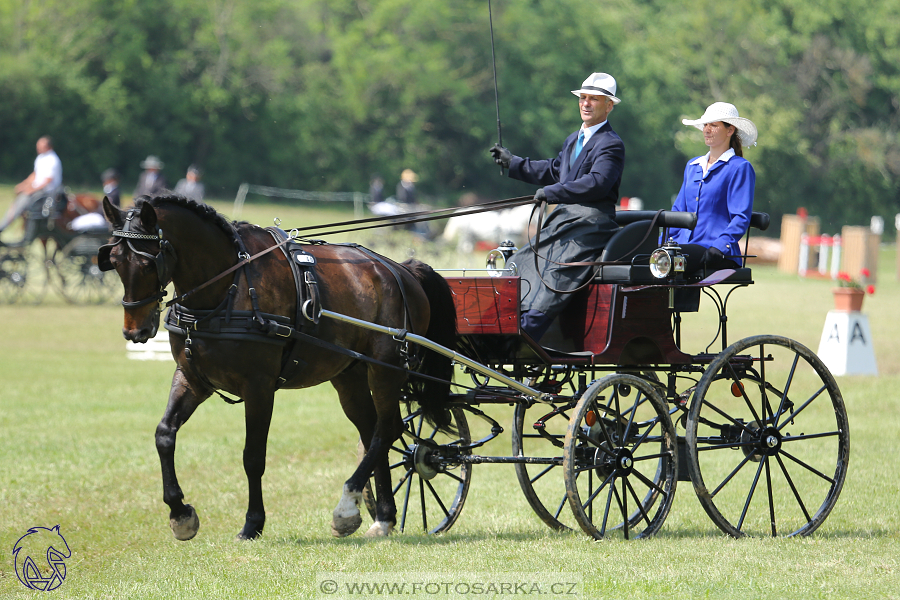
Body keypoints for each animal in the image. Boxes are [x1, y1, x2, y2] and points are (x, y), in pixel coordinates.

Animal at [98, 196, 458, 540]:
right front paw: (180, 515)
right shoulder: (192, 378)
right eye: (113, 260)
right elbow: (164, 435)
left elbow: (253, 456)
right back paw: (382, 516)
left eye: (148, 262)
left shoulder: (259, 386)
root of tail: (403, 269)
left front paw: (252, 524)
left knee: (388, 429)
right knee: (372, 431)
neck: (229, 286)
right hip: (349, 374)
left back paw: (346, 507)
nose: (134, 331)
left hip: (386, 368)